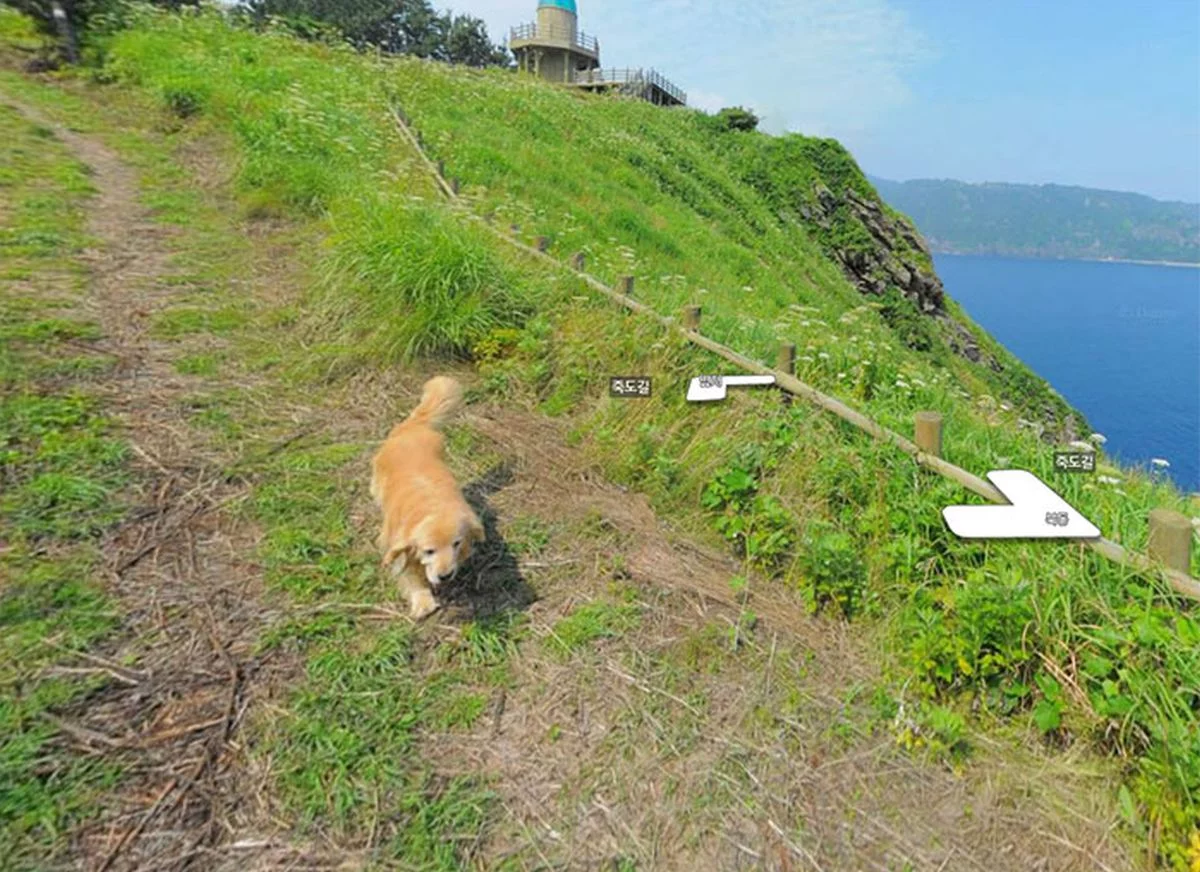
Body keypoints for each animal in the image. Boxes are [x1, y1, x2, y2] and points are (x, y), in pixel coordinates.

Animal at [374, 376, 487, 618]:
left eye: (456, 544)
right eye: (429, 550)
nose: (445, 575)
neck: (431, 507)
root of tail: (414, 426)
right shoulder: (399, 546)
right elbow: (410, 575)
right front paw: (423, 602)